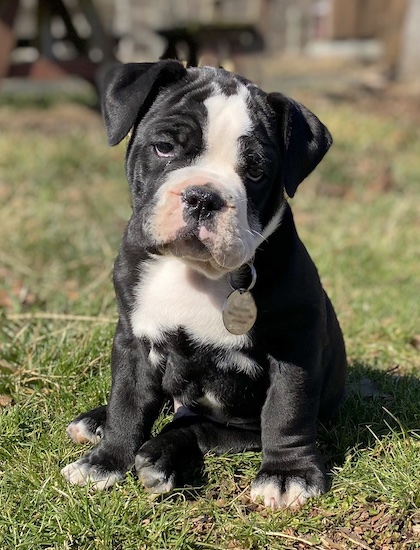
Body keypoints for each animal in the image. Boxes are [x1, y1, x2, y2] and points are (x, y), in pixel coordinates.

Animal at [60, 60, 346, 508]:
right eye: (164, 148)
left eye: (256, 170)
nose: (202, 197)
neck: (194, 271)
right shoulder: (133, 340)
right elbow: (128, 400)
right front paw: (106, 461)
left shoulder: (294, 346)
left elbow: (287, 410)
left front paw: (287, 474)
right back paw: (98, 422)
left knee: (194, 428)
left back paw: (159, 457)